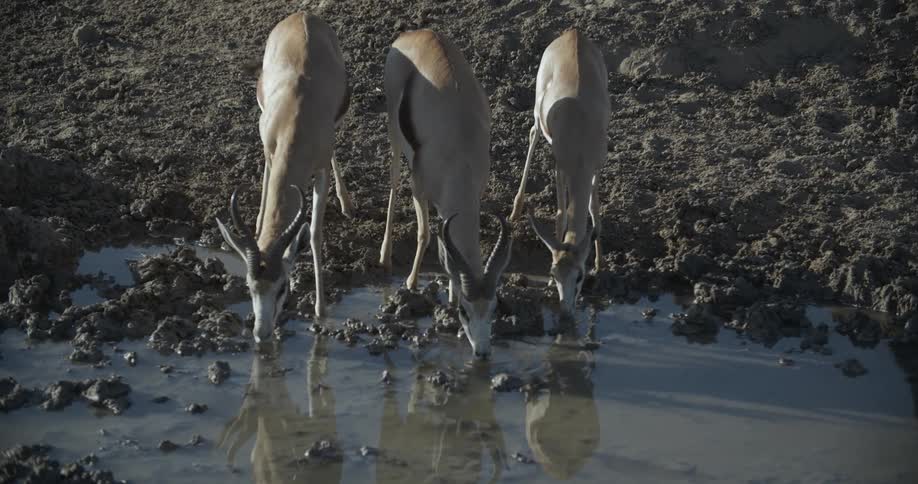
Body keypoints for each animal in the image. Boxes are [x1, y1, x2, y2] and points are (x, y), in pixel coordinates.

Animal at [216, 13, 354, 342]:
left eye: (282, 287)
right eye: (250, 287)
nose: (261, 332)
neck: (296, 113)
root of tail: (303, 15)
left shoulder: (319, 172)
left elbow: (314, 234)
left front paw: (320, 309)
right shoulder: (270, 150)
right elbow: (268, 192)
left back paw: (346, 203)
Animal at [379, 29, 512, 359]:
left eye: (492, 308)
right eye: (465, 311)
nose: (482, 352)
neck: (459, 150)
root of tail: (415, 33)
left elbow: (446, 247)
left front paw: (450, 293)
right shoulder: (420, 186)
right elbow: (425, 233)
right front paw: (412, 283)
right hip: (394, 136)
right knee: (393, 181)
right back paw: (385, 257)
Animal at [509, 30, 609, 316]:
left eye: (579, 276)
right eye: (554, 274)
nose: (565, 311)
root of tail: (573, 33)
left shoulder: (596, 165)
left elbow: (595, 212)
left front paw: (600, 265)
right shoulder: (561, 166)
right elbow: (561, 214)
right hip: (536, 110)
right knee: (532, 133)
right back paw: (515, 210)